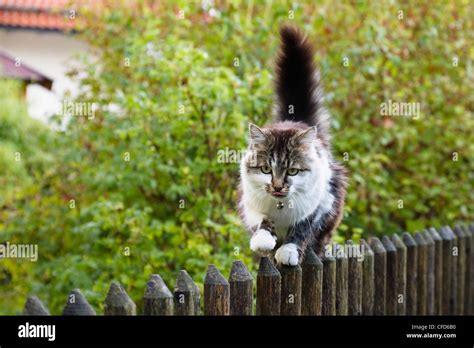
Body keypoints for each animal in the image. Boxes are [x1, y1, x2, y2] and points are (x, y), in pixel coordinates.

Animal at [239, 25, 346, 266]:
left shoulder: (320, 204)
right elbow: (262, 221)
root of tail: (296, 120)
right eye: (265, 169)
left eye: (293, 171)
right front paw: (263, 240)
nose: (278, 186)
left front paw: (288, 252)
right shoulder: (252, 203)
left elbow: (302, 229)